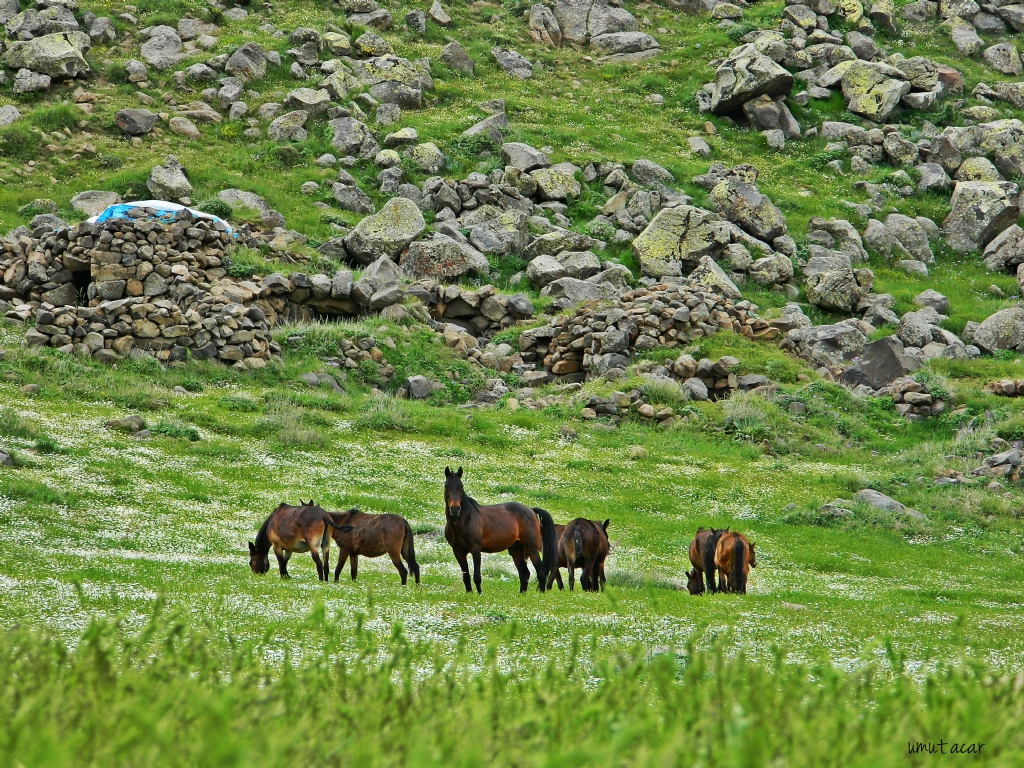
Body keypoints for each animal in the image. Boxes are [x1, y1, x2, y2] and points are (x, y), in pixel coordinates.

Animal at [440, 466, 552, 598]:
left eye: (461, 486)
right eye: (446, 486)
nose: (455, 509)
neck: (464, 521)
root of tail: (531, 510)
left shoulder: (475, 550)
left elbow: (477, 576)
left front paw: (479, 594)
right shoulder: (458, 552)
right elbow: (466, 576)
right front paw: (469, 593)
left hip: (531, 548)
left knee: (540, 572)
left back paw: (541, 595)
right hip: (516, 550)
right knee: (524, 573)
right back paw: (521, 595)